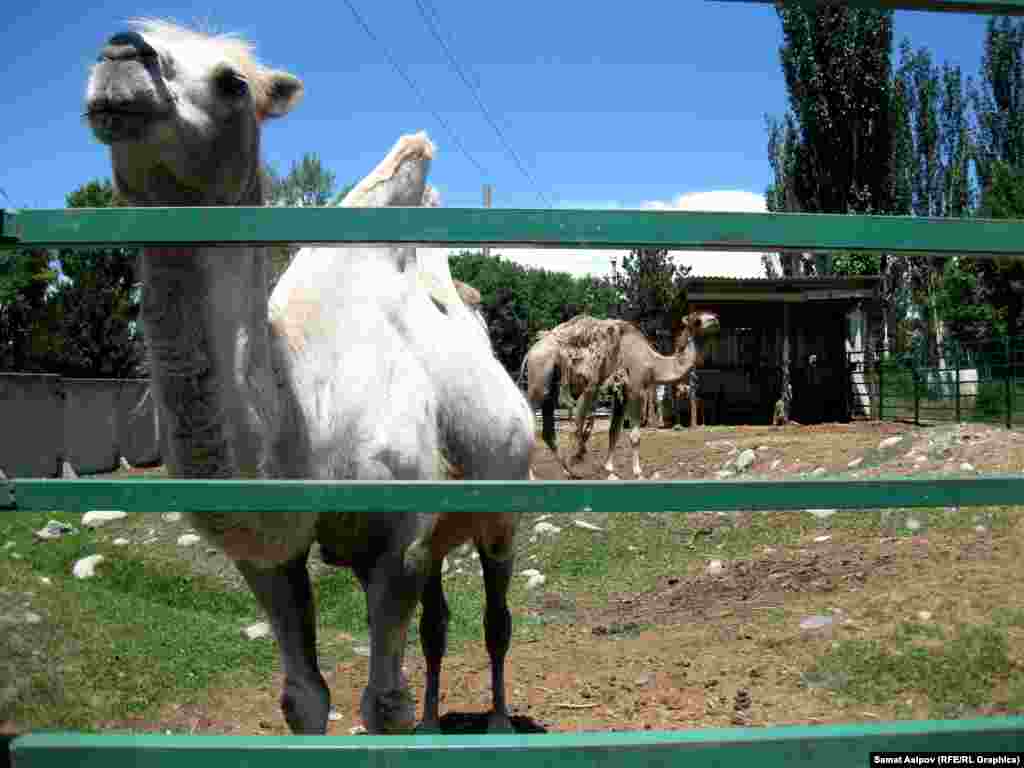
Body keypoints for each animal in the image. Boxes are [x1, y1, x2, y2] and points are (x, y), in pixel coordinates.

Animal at [85, 20, 533, 736]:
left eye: (233, 82)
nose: (121, 53)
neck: (307, 414)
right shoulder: (272, 557)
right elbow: (304, 697)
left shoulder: (400, 540)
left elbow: (383, 703)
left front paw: (405, 717)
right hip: (443, 533)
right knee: (438, 624)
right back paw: (436, 724)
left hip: (503, 506)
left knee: (496, 616)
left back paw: (495, 723)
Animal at [521, 311, 718, 479]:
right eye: (697, 319)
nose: (715, 319)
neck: (653, 364)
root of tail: (530, 352)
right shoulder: (635, 390)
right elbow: (635, 436)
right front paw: (638, 472)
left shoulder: (620, 393)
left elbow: (614, 431)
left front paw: (609, 469)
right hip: (540, 378)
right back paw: (532, 475)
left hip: (550, 386)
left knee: (549, 429)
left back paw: (570, 472)